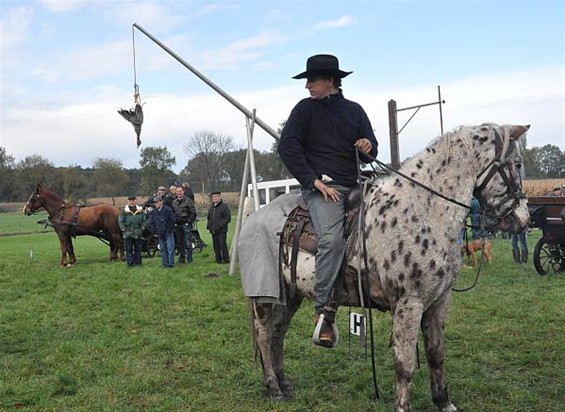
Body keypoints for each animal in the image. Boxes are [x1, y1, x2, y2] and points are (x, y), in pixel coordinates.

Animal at [240, 124, 532, 410]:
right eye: (517, 163)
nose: (524, 220)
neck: (422, 211)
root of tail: (251, 219)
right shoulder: (408, 305)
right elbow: (405, 366)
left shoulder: (439, 301)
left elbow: (436, 355)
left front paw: (444, 402)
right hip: (265, 296)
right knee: (265, 335)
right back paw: (274, 388)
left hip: (289, 296)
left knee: (278, 334)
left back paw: (284, 384)